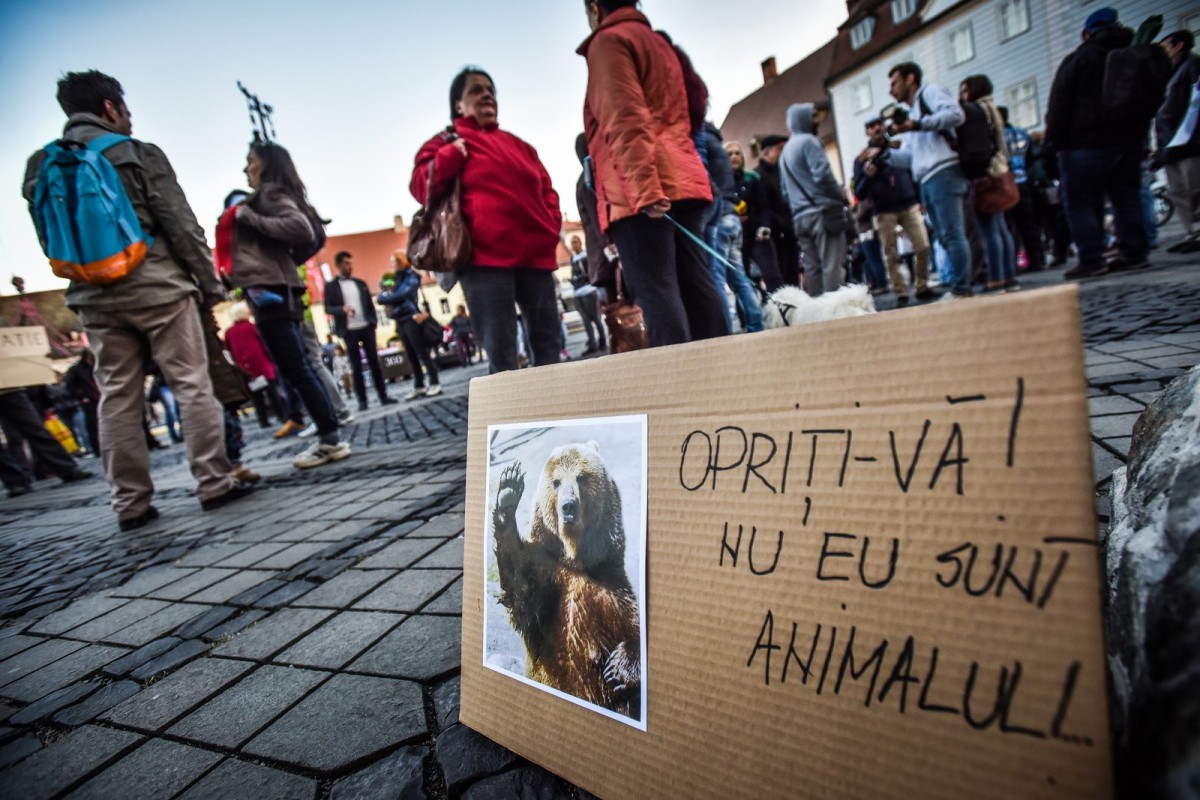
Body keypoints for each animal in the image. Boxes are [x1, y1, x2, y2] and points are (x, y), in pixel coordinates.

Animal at [492, 441, 643, 724]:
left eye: (582, 477)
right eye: (556, 482)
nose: (568, 506)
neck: (577, 563)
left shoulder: (614, 595)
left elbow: (634, 630)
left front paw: (617, 667)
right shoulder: (548, 589)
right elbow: (520, 590)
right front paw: (508, 489)